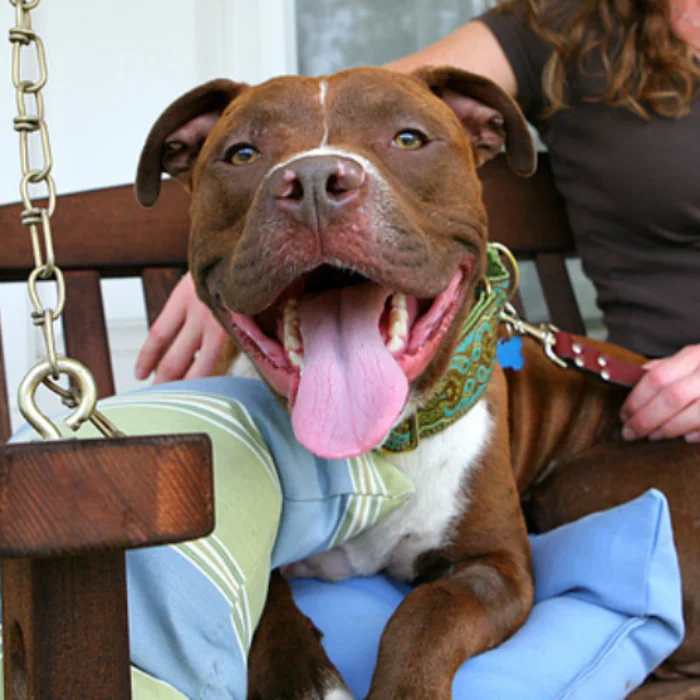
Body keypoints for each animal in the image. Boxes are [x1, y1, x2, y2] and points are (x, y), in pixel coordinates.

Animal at [137, 67, 700, 700]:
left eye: (408, 139)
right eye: (242, 154)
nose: (314, 181)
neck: (371, 448)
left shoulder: (497, 567)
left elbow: (426, 615)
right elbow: (263, 606)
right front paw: (306, 681)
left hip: (584, 484)